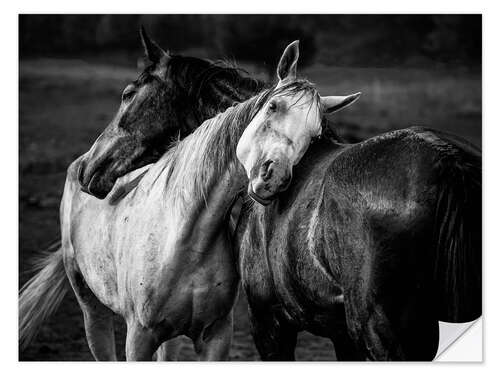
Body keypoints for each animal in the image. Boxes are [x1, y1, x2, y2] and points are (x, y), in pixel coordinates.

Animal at [236, 44, 482, 362]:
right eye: (273, 107)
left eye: (314, 133)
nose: (273, 177)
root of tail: (448, 159)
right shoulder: (341, 335)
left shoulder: (268, 324)